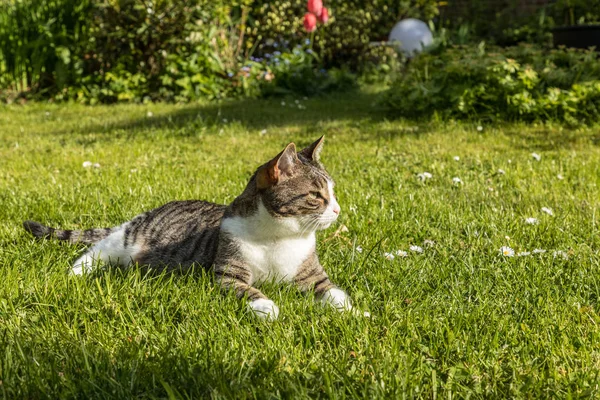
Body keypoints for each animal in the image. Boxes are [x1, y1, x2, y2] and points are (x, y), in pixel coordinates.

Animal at [22, 136, 366, 320]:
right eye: (316, 196)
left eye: (333, 192)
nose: (338, 209)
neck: (280, 238)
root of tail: (151, 211)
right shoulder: (227, 274)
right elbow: (247, 289)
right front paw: (266, 305)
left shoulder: (313, 275)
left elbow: (334, 293)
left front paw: (355, 313)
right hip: (126, 240)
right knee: (96, 249)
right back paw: (74, 273)